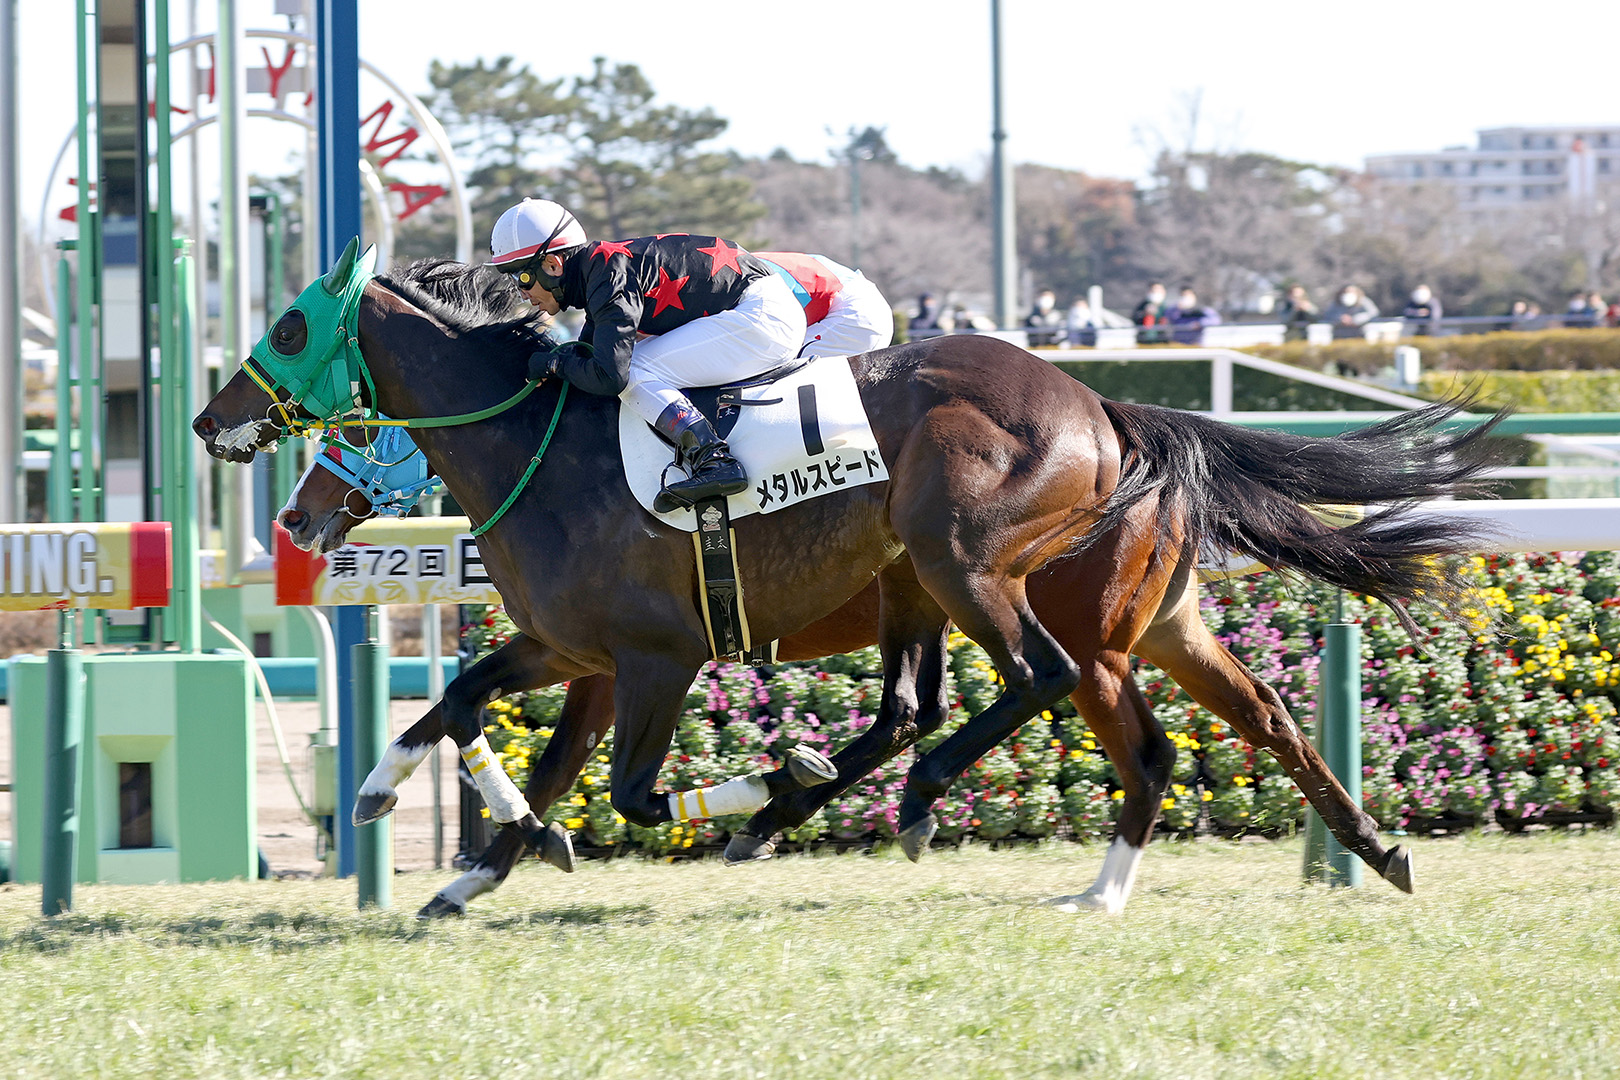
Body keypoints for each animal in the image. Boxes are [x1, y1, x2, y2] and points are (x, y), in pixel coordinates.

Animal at [199, 255, 1503, 919]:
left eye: (290, 325)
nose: (218, 428)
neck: (547, 441)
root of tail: (1105, 406)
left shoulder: (657, 657)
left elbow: (626, 791)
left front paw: (761, 787)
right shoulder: (579, 650)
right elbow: (470, 705)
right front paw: (435, 838)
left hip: (974, 569)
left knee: (1045, 692)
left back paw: (924, 809)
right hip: (1125, 615)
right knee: (1242, 719)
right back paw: (1365, 853)